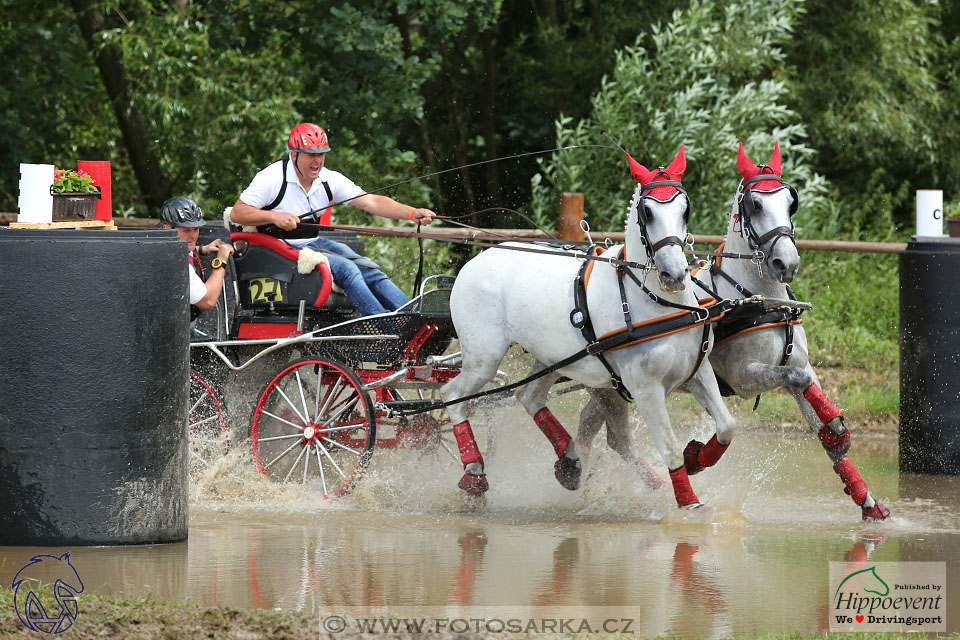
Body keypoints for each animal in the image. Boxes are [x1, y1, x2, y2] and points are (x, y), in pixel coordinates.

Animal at [440, 146, 736, 510]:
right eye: (647, 212)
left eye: (685, 208)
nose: (675, 274)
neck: (657, 304)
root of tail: (476, 260)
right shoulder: (646, 389)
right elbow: (668, 449)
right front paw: (690, 504)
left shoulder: (698, 372)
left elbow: (727, 426)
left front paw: (697, 458)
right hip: (484, 358)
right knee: (453, 397)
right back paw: (474, 473)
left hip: (551, 359)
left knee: (528, 396)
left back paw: (569, 461)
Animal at [568, 142, 888, 524]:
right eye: (755, 205)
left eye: (790, 201)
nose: (787, 263)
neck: (759, 301)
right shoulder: (743, 377)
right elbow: (794, 378)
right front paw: (693, 458)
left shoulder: (801, 365)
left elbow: (810, 394)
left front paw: (864, 494)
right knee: (610, 433)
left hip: (612, 385)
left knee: (595, 423)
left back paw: (573, 466)